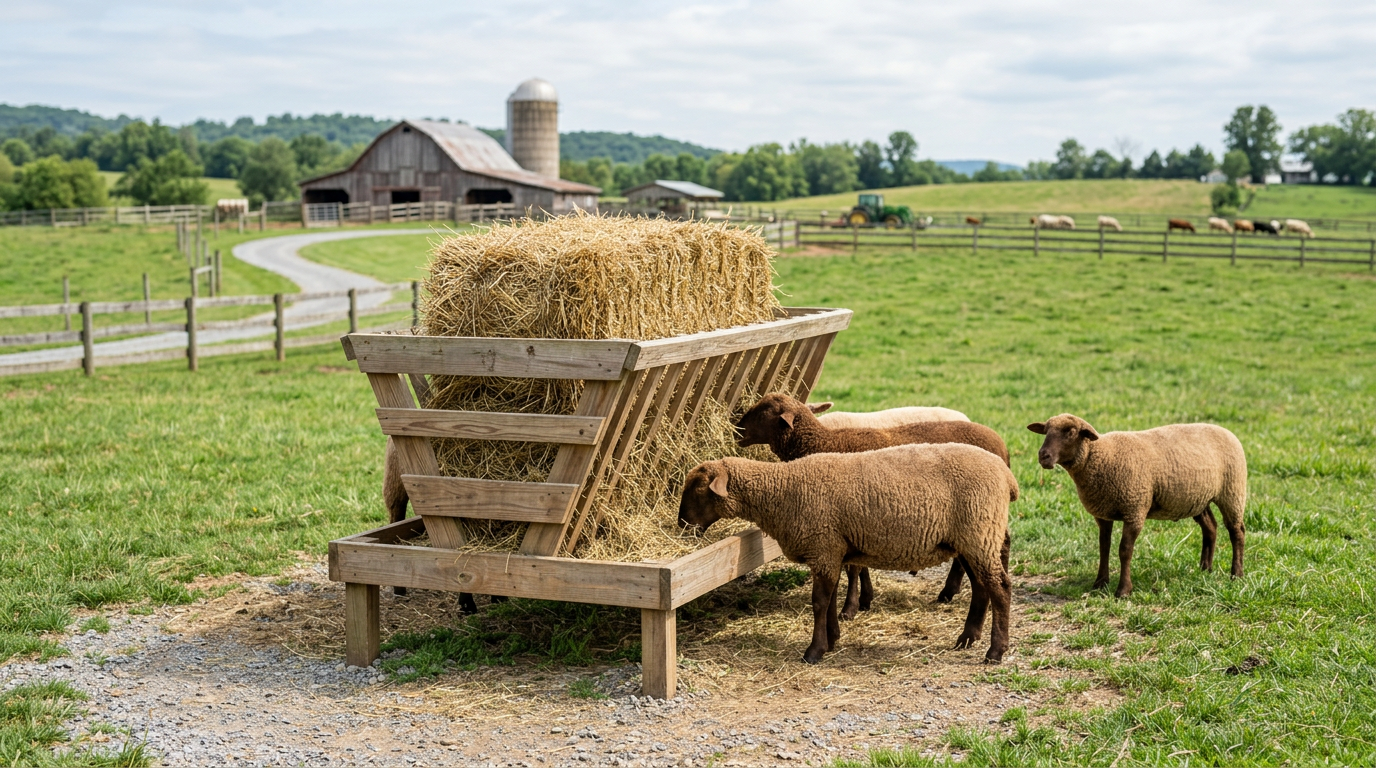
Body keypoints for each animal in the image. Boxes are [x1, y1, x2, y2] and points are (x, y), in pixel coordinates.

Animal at [678, 443, 1018, 663]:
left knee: (1000, 588)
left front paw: (814, 652)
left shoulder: (823, 547)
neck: (782, 491)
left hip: (979, 532)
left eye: (697, 489)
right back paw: (968, 638)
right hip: (972, 539)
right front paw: (833, 639)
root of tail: (1006, 475)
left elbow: (818, 602)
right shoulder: (831, 550)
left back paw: (995, 651)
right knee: (982, 587)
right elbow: (828, 601)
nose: (681, 524)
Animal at [736, 393, 1008, 614]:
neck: (825, 442)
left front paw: (849, 608)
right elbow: (859, 563)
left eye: (762, 412)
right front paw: (865, 599)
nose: (735, 427)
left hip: (978, 509)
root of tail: (1001, 444)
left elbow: (854, 568)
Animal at [1027, 414, 1246, 598]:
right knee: (1210, 528)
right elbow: (1103, 547)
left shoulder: (1135, 509)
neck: (1099, 456)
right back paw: (1205, 569)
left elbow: (1125, 550)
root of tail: (1226, 431)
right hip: (1198, 498)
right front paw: (1100, 583)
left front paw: (1123, 590)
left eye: (1071, 432)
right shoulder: (1103, 514)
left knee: (1237, 532)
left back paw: (1236, 574)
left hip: (1232, 491)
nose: (1043, 456)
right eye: (1045, 431)